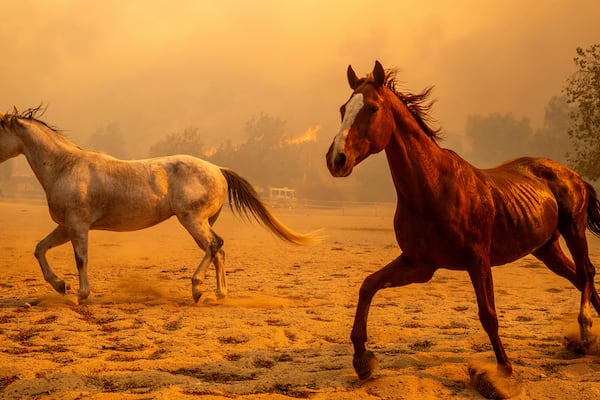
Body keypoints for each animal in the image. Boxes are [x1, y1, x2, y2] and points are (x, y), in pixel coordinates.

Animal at [0, 108, 316, 302]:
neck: (65, 167)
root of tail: (217, 169)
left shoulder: (78, 226)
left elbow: (81, 259)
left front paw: (80, 294)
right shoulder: (65, 227)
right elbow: (40, 249)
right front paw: (60, 285)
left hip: (192, 220)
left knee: (214, 245)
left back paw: (198, 288)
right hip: (200, 223)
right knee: (218, 251)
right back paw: (219, 294)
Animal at [328, 62, 600, 388]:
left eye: (371, 108)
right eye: (343, 109)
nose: (336, 159)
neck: (433, 188)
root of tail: (573, 175)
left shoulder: (477, 259)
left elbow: (488, 314)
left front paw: (503, 371)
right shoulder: (419, 264)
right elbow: (368, 285)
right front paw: (362, 360)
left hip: (574, 229)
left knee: (586, 273)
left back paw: (585, 330)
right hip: (546, 248)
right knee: (578, 277)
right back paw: (588, 340)